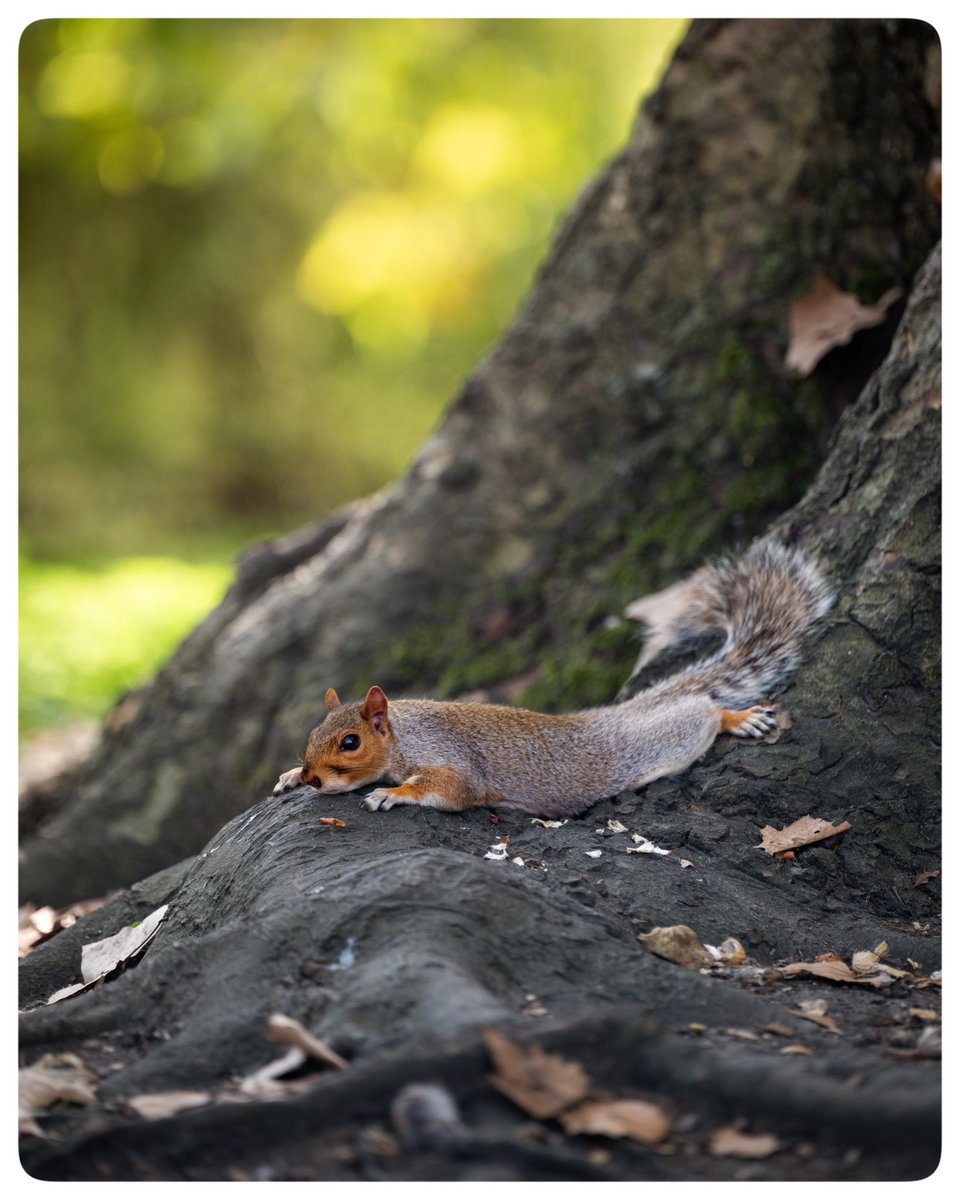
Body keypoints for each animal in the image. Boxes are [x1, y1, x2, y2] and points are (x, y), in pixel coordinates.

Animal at [272, 542, 830, 816]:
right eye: (312, 735)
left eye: (350, 741)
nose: (314, 777)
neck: (405, 733)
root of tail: (618, 715)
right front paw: (290, 775)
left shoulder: (453, 761)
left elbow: (454, 789)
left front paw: (394, 794)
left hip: (665, 741)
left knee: (703, 712)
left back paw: (737, 718)